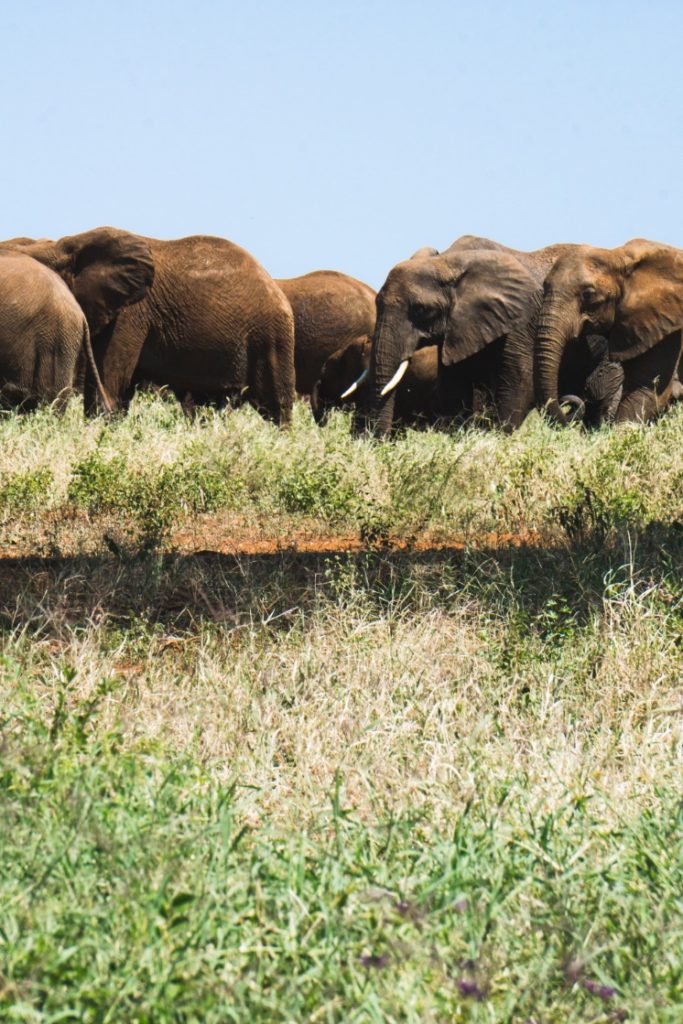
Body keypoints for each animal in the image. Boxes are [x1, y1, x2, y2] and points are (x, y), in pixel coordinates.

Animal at [536, 239, 683, 423]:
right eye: (544, 287)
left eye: (589, 295)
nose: (567, 402)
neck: (616, 257)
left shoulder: (667, 322)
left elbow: (648, 389)